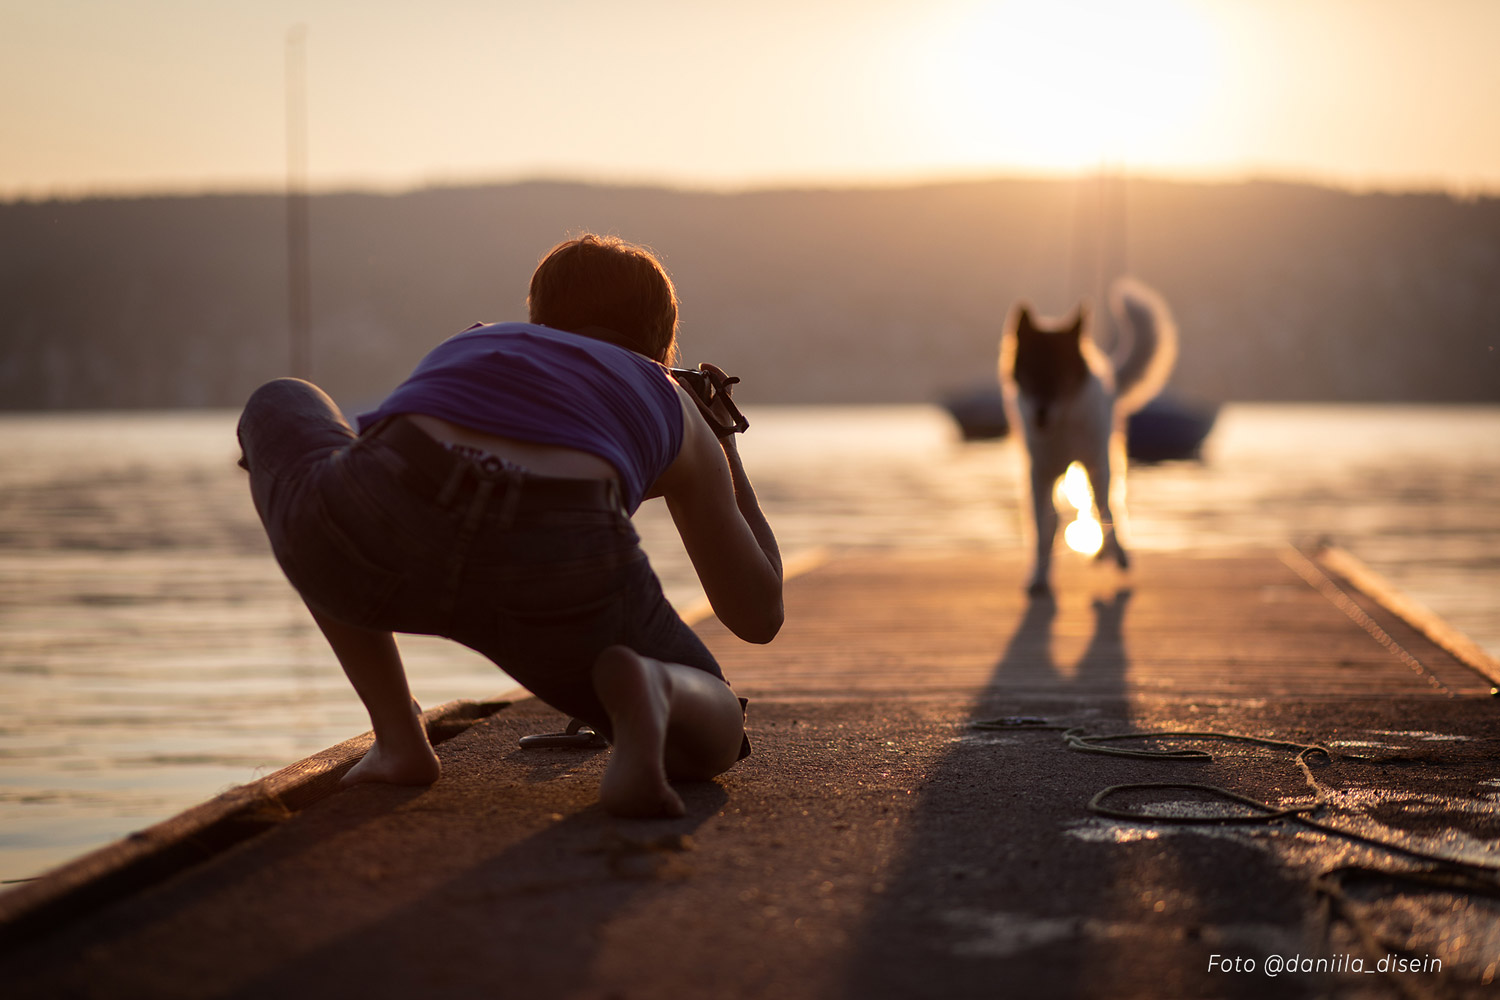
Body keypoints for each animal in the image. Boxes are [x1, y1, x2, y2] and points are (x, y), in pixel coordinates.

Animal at [1002, 275, 1176, 593]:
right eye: (1031, 373)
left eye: (1060, 375)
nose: (1040, 413)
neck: (1061, 423)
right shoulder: (1038, 472)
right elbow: (1042, 528)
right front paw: (1039, 577)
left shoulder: (1095, 462)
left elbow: (1105, 509)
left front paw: (1115, 553)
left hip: (1101, 463)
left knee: (1106, 505)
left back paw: (1112, 554)